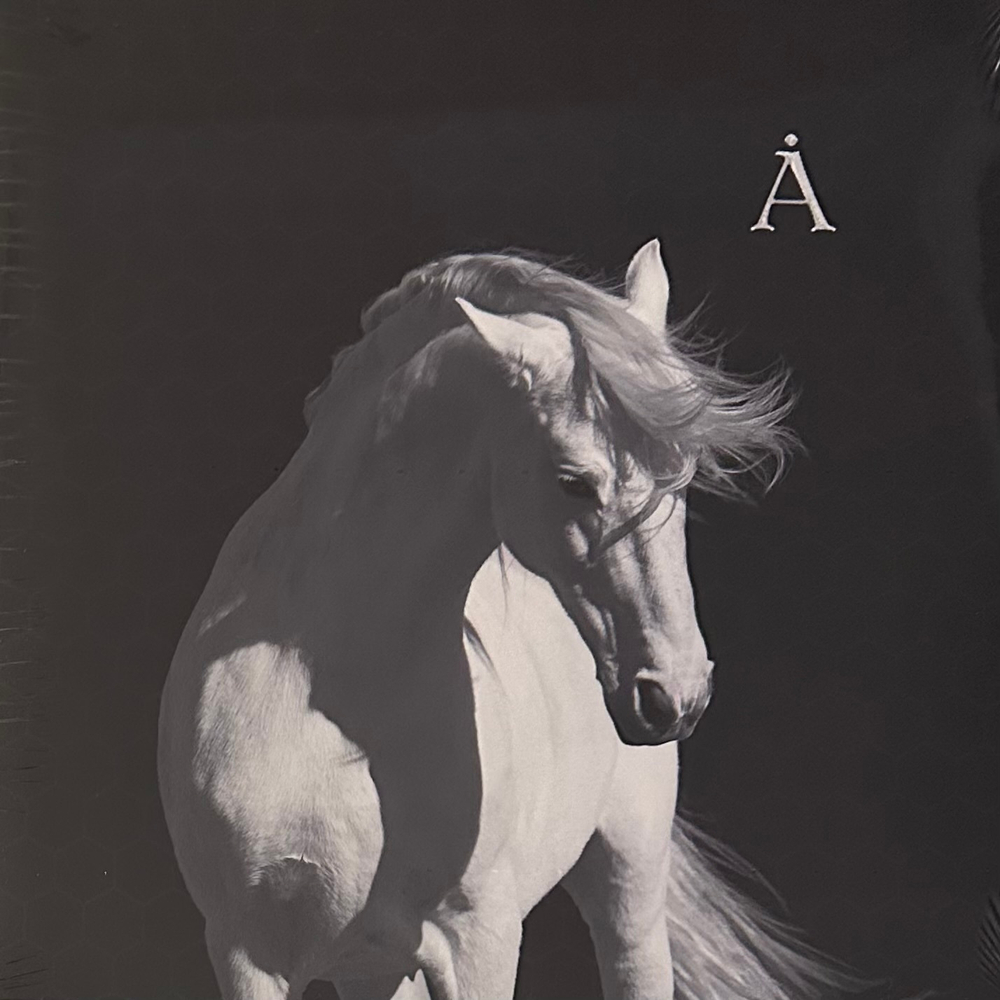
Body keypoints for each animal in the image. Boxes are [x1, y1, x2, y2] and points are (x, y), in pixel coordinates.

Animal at [157, 240, 851, 1000]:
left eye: (686, 474)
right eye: (574, 481)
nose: (675, 695)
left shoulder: (478, 941)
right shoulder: (251, 956)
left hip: (629, 884)